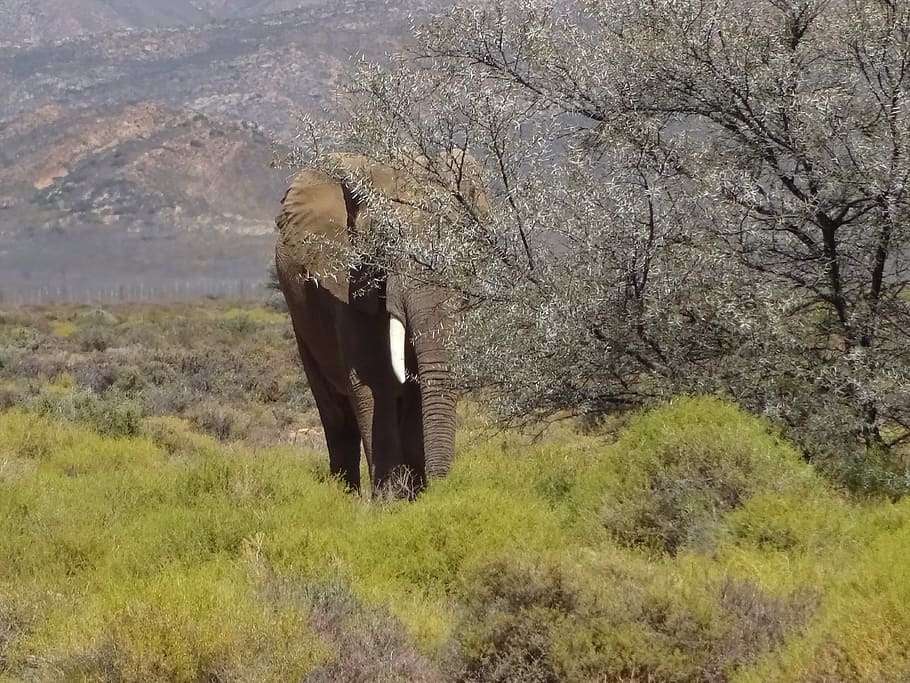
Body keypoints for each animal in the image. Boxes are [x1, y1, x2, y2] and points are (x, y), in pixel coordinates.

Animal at [274, 151, 487, 497]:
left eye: (464, 242)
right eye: (385, 242)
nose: (443, 486)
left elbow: (416, 384)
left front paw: (415, 498)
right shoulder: (345, 278)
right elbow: (374, 379)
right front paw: (390, 500)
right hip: (299, 319)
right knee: (336, 418)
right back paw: (342, 497)